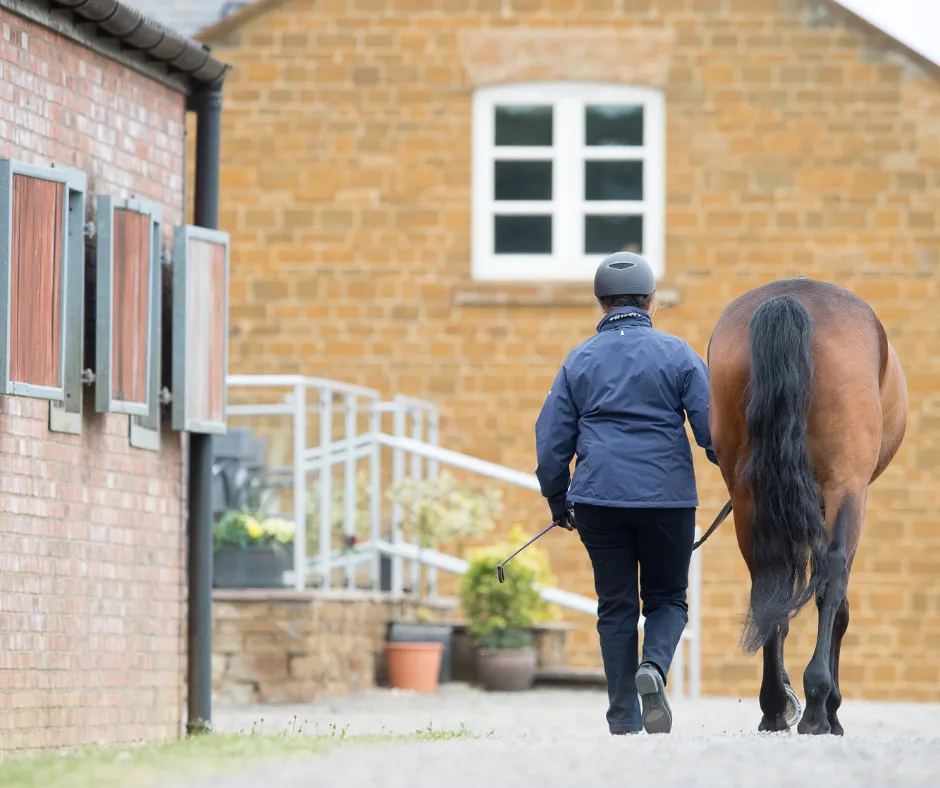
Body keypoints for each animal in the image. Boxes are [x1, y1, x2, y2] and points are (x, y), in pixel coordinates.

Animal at [706, 277, 907, 736]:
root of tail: (790, 299)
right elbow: (838, 603)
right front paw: (831, 706)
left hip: (749, 494)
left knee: (768, 578)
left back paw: (774, 706)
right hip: (845, 486)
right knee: (830, 581)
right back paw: (816, 706)